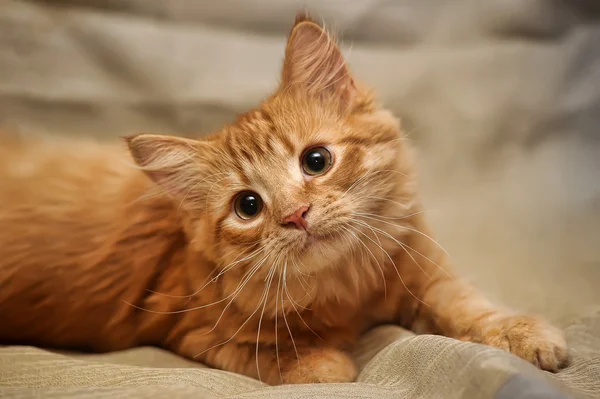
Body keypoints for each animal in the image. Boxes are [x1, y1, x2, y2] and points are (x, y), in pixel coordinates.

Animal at [0, 14, 568, 386]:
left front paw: (521, 333)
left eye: (316, 161)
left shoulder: (422, 270)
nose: (296, 214)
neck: (349, 288)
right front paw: (321, 361)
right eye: (248, 207)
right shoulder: (193, 331)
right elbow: (275, 354)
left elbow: (467, 306)